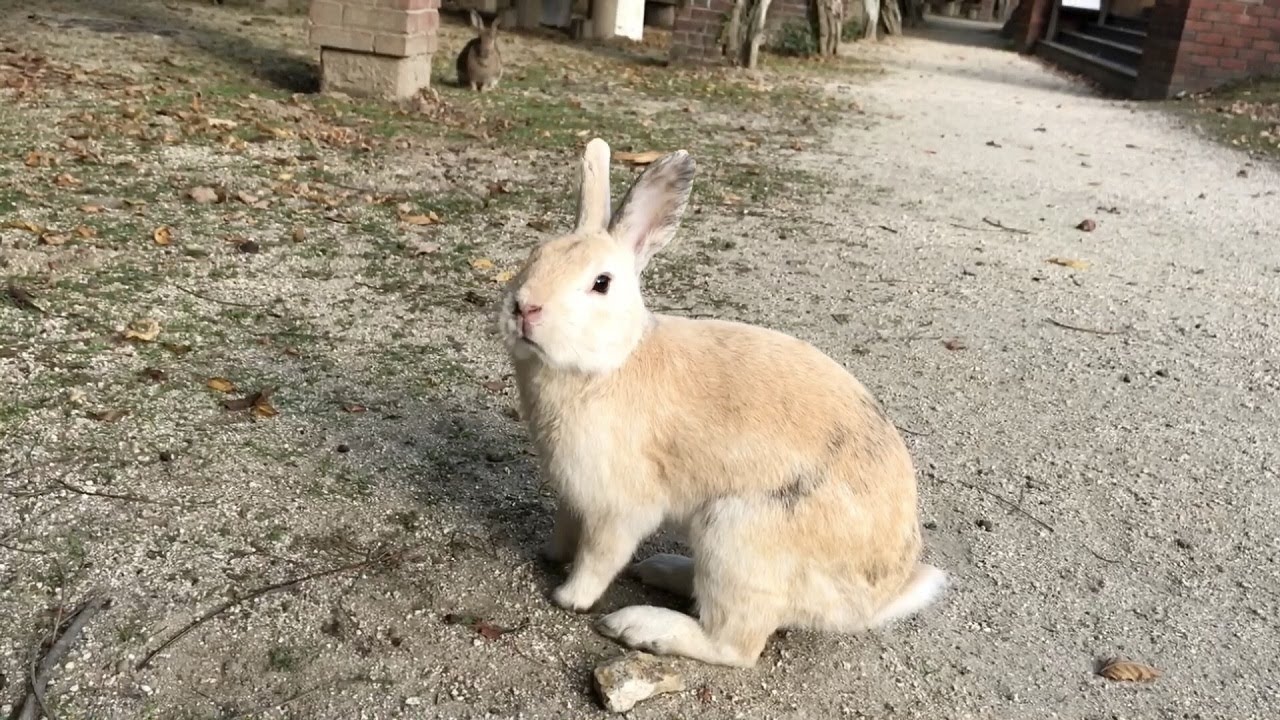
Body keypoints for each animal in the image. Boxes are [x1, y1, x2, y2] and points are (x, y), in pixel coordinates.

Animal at [496, 138, 946, 668]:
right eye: (534, 254)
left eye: (601, 283)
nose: (524, 308)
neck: (612, 363)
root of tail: (873, 602)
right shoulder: (572, 496)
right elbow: (566, 532)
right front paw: (551, 556)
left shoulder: (619, 507)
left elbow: (599, 557)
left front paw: (568, 597)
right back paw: (661, 569)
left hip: (738, 538)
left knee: (734, 644)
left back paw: (638, 625)